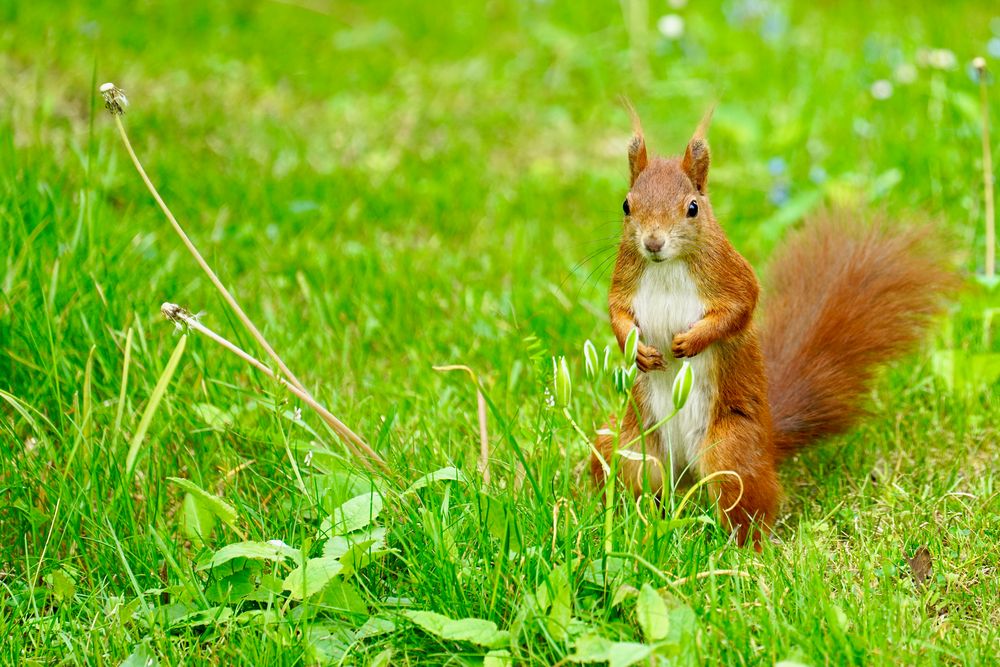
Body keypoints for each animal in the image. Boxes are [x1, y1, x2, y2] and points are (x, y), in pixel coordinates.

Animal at [592, 111, 952, 548]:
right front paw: (636, 349)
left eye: (692, 208)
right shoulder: (624, 279)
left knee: (746, 504)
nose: (653, 243)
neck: (666, 267)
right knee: (638, 482)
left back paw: (738, 548)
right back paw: (624, 523)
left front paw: (692, 341)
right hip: (628, 444)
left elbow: (740, 308)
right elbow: (617, 313)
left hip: (730, 452)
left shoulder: (732, 275)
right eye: (627, 205)